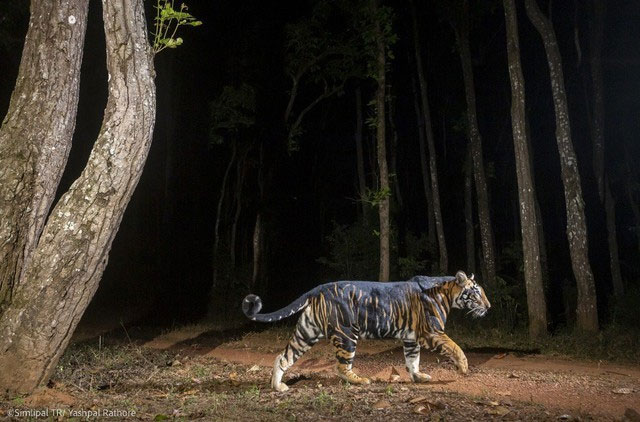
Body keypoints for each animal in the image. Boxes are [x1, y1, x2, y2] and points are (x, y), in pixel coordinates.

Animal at [242, 270, 490, 392]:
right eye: (476, 292)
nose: (488, 307)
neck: (447, 293)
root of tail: (319, 288)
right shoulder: (432, 332)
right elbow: (455, 348)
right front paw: (463, 368)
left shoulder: (411, 338)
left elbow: (413, 360)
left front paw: (418, 377)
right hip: (346, 335)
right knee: (342, 367)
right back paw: (360, 380)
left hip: (306, 332)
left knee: (283, 357)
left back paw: (278, 387)